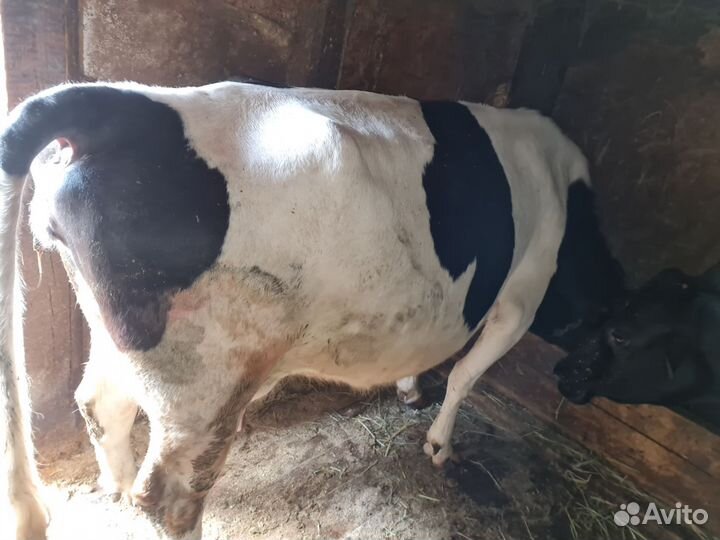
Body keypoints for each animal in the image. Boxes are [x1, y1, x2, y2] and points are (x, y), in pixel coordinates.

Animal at [1, 81, 593, 540]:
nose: (575, 383)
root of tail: (116, 101)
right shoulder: (524, 293)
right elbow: (466, 375)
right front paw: (440, 443)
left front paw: (409, 388)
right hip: (207, 385)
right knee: (172, 497)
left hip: (119, 336)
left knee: (101, 407)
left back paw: (115, 489)